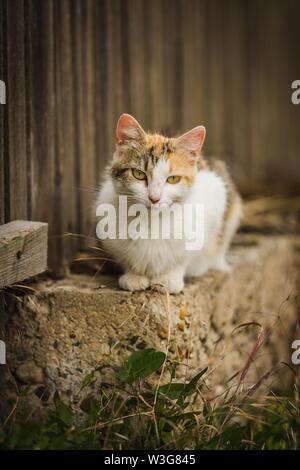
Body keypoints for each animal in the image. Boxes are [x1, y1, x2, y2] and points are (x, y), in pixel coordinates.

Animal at [96, 113, 241, 294]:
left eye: (173, 179)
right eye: (138, 174)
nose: (154, 198)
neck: (151, 220)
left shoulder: (216, 195)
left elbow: (184, 256)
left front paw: (169, 278)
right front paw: (134, 275)